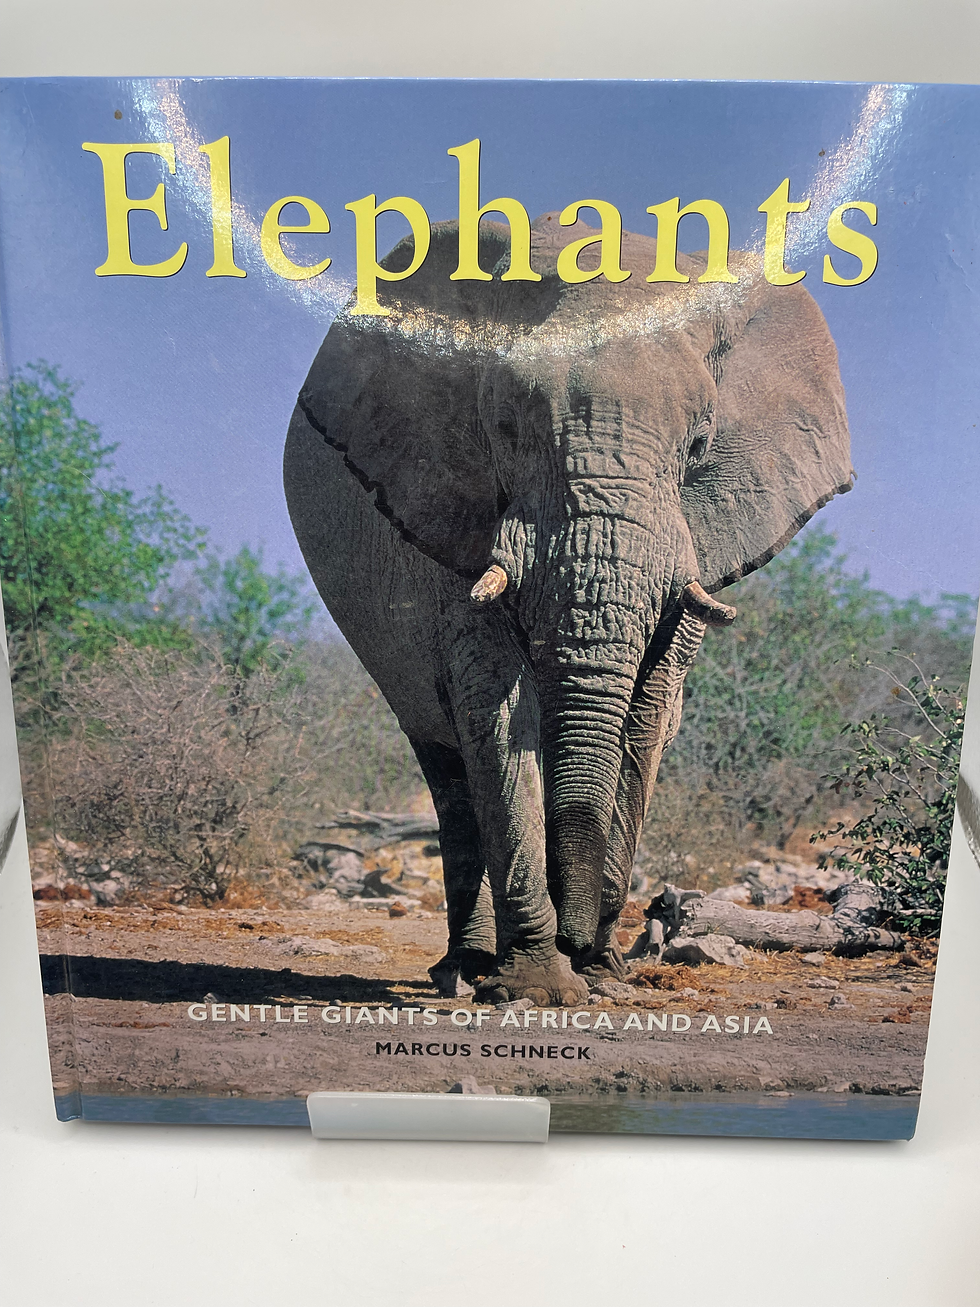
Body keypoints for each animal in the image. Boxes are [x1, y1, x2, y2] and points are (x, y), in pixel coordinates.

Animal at [283, 213, 853, 1005]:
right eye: (506, 429)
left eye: (699, 444)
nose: (585, 939)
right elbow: (498, 712)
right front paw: (539, 986)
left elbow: (646, 720)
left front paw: (598, 970)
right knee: (447, 768)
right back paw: (466, 970)